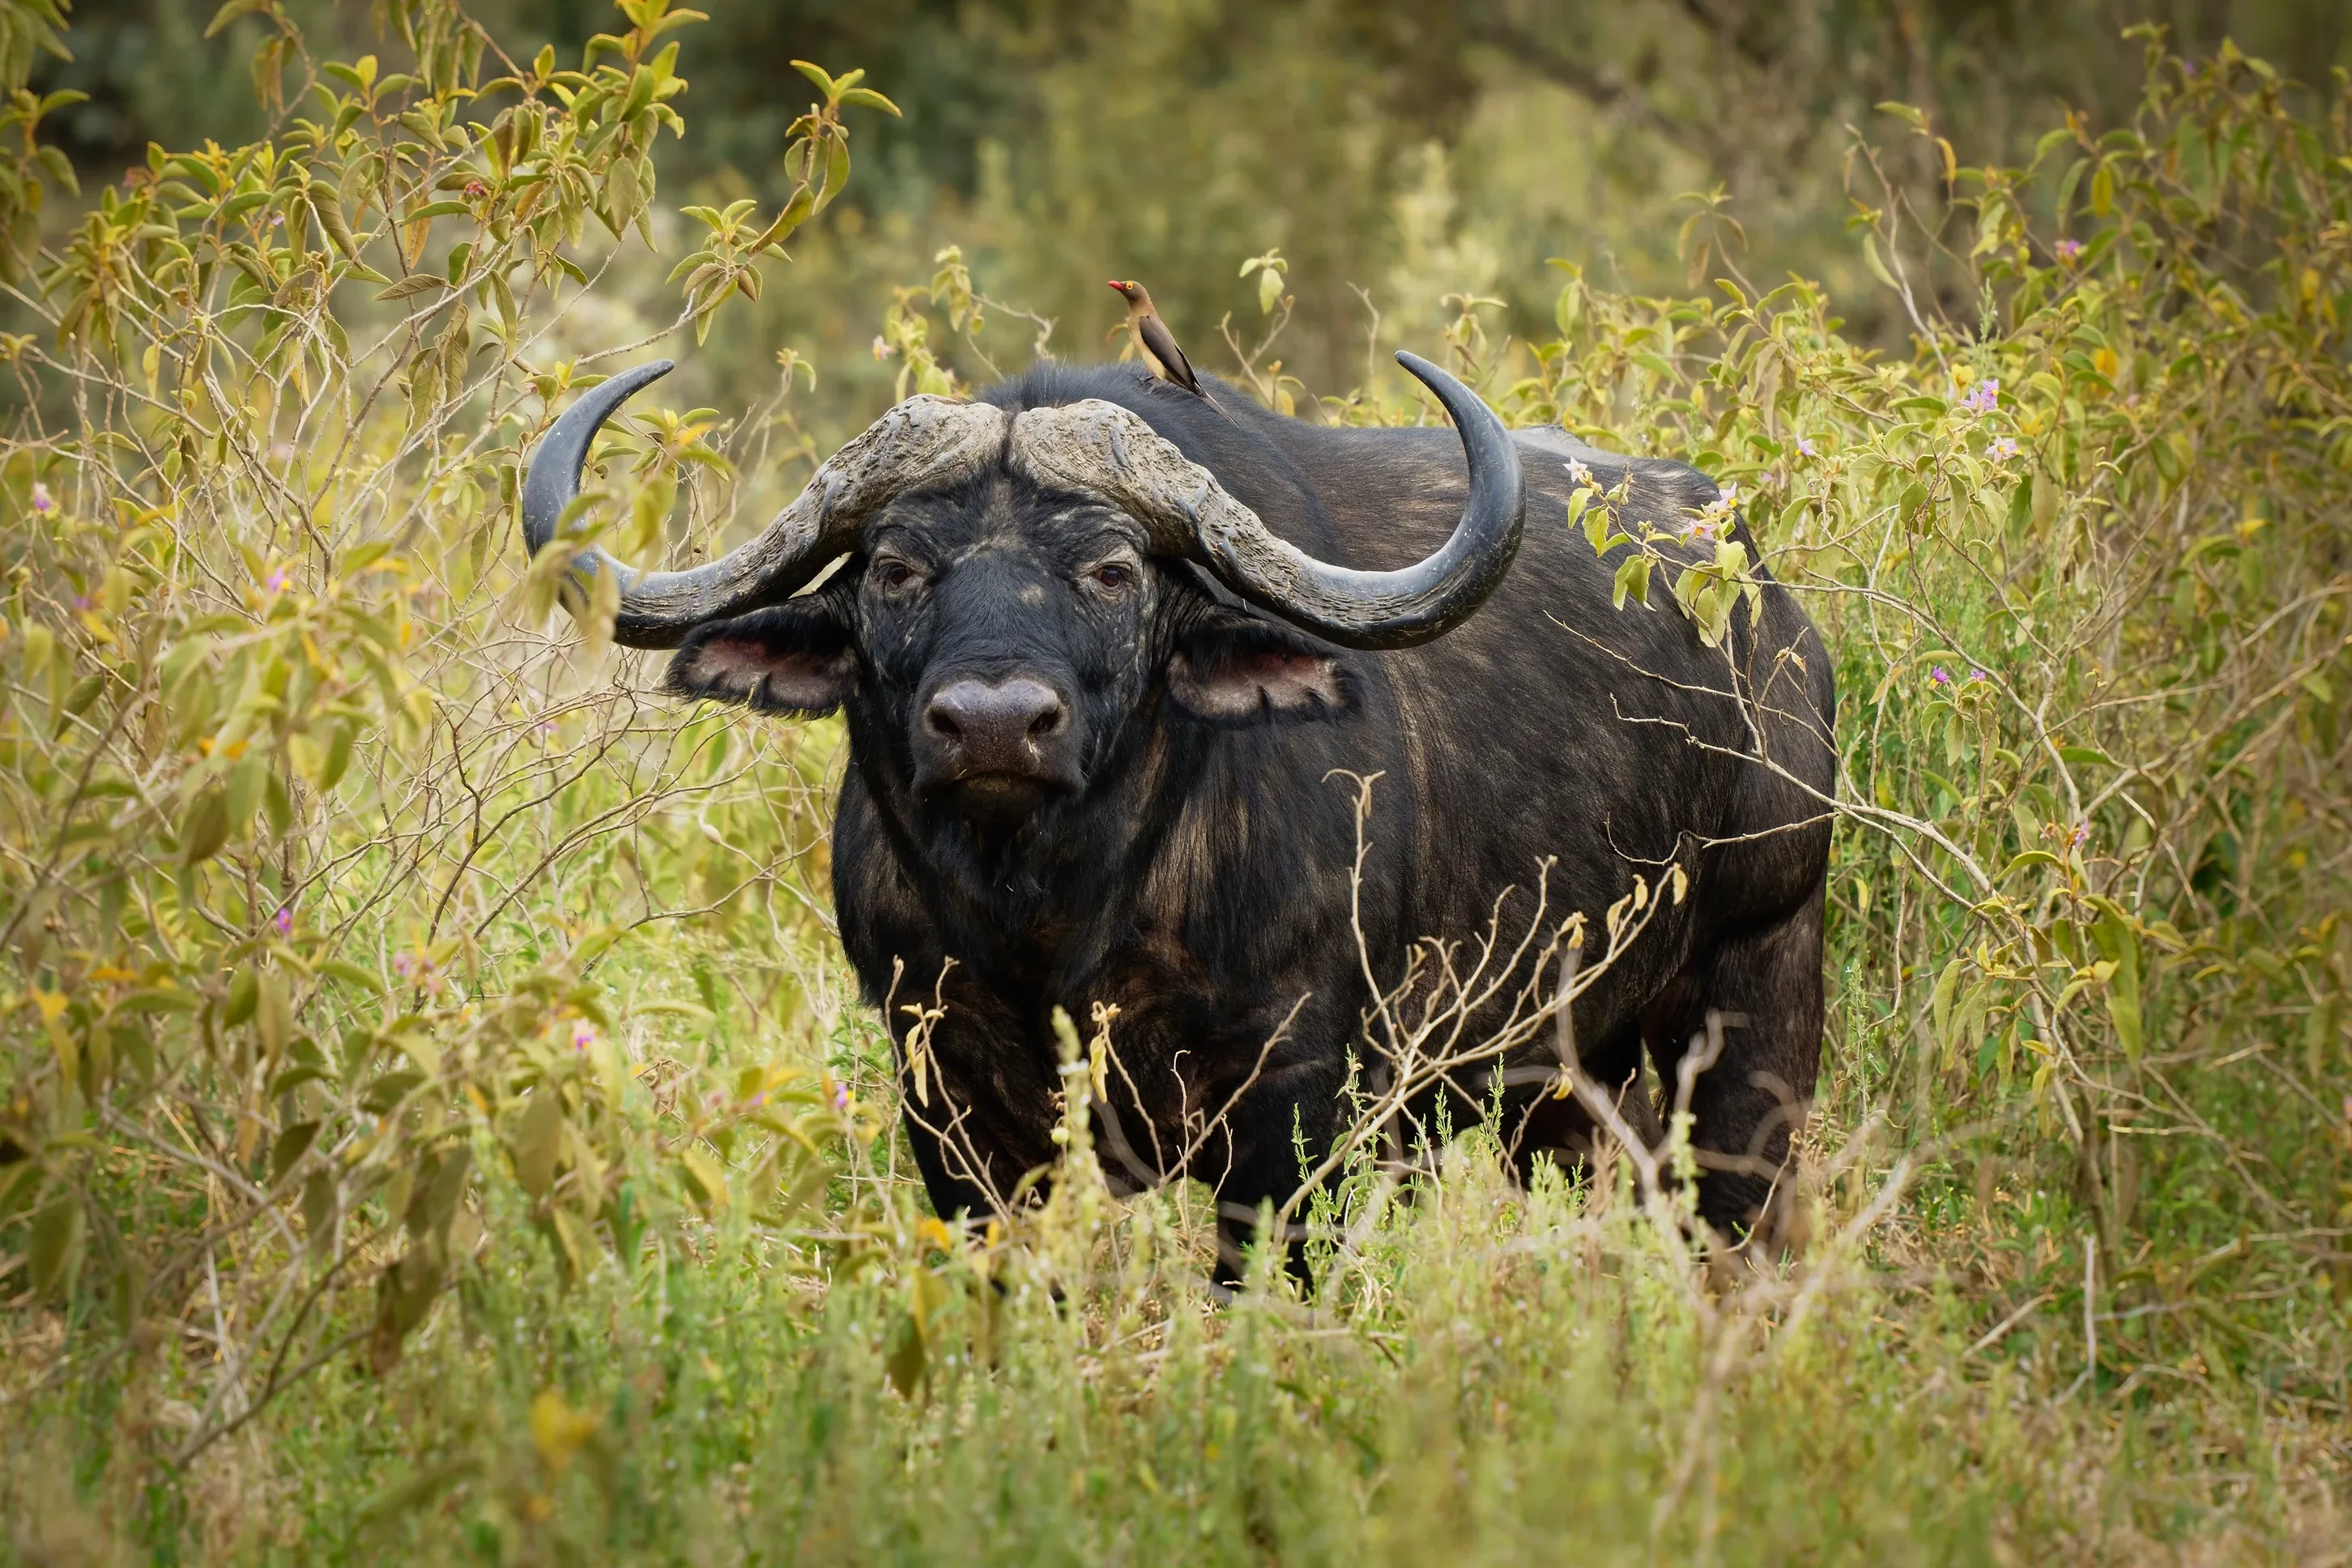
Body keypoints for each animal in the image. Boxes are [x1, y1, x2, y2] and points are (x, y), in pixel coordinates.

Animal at [521, 352, 1836, 1276]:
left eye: (1112, 570)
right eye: (895, 569)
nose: (992, 723)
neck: (1056, 914)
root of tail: (1764, 610)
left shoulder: (1299, 1112)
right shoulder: (947, 1096)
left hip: (1756, 997)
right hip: (1561, 1086)